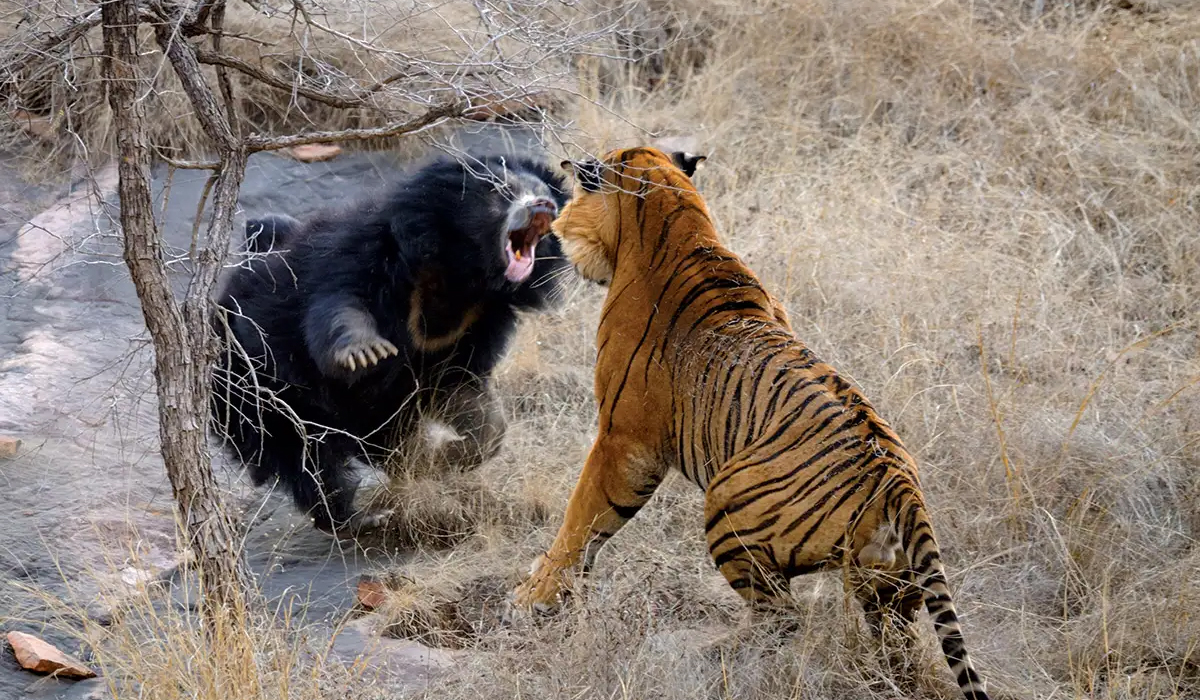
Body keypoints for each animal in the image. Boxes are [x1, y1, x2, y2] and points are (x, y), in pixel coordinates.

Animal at [211, 153, 571, 537]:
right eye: (503, 191)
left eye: (544, 192)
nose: (543, 206)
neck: (461, 273)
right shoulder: (364, 254)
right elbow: (340, 306)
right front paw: (365, 353)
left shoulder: (477, 322)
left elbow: (464, 393)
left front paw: (443, 457)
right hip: (255, 389)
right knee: (306, 459)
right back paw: (355, 517)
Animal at [511, 145, 988, 696]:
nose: (557, 225)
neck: (676, 218)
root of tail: (899, 484)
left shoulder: (624, 440)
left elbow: (582, 518)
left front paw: (534, 595)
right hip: (887, 586)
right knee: (896, 645)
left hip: (727, 503)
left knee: (782, 616)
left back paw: (705, 652)